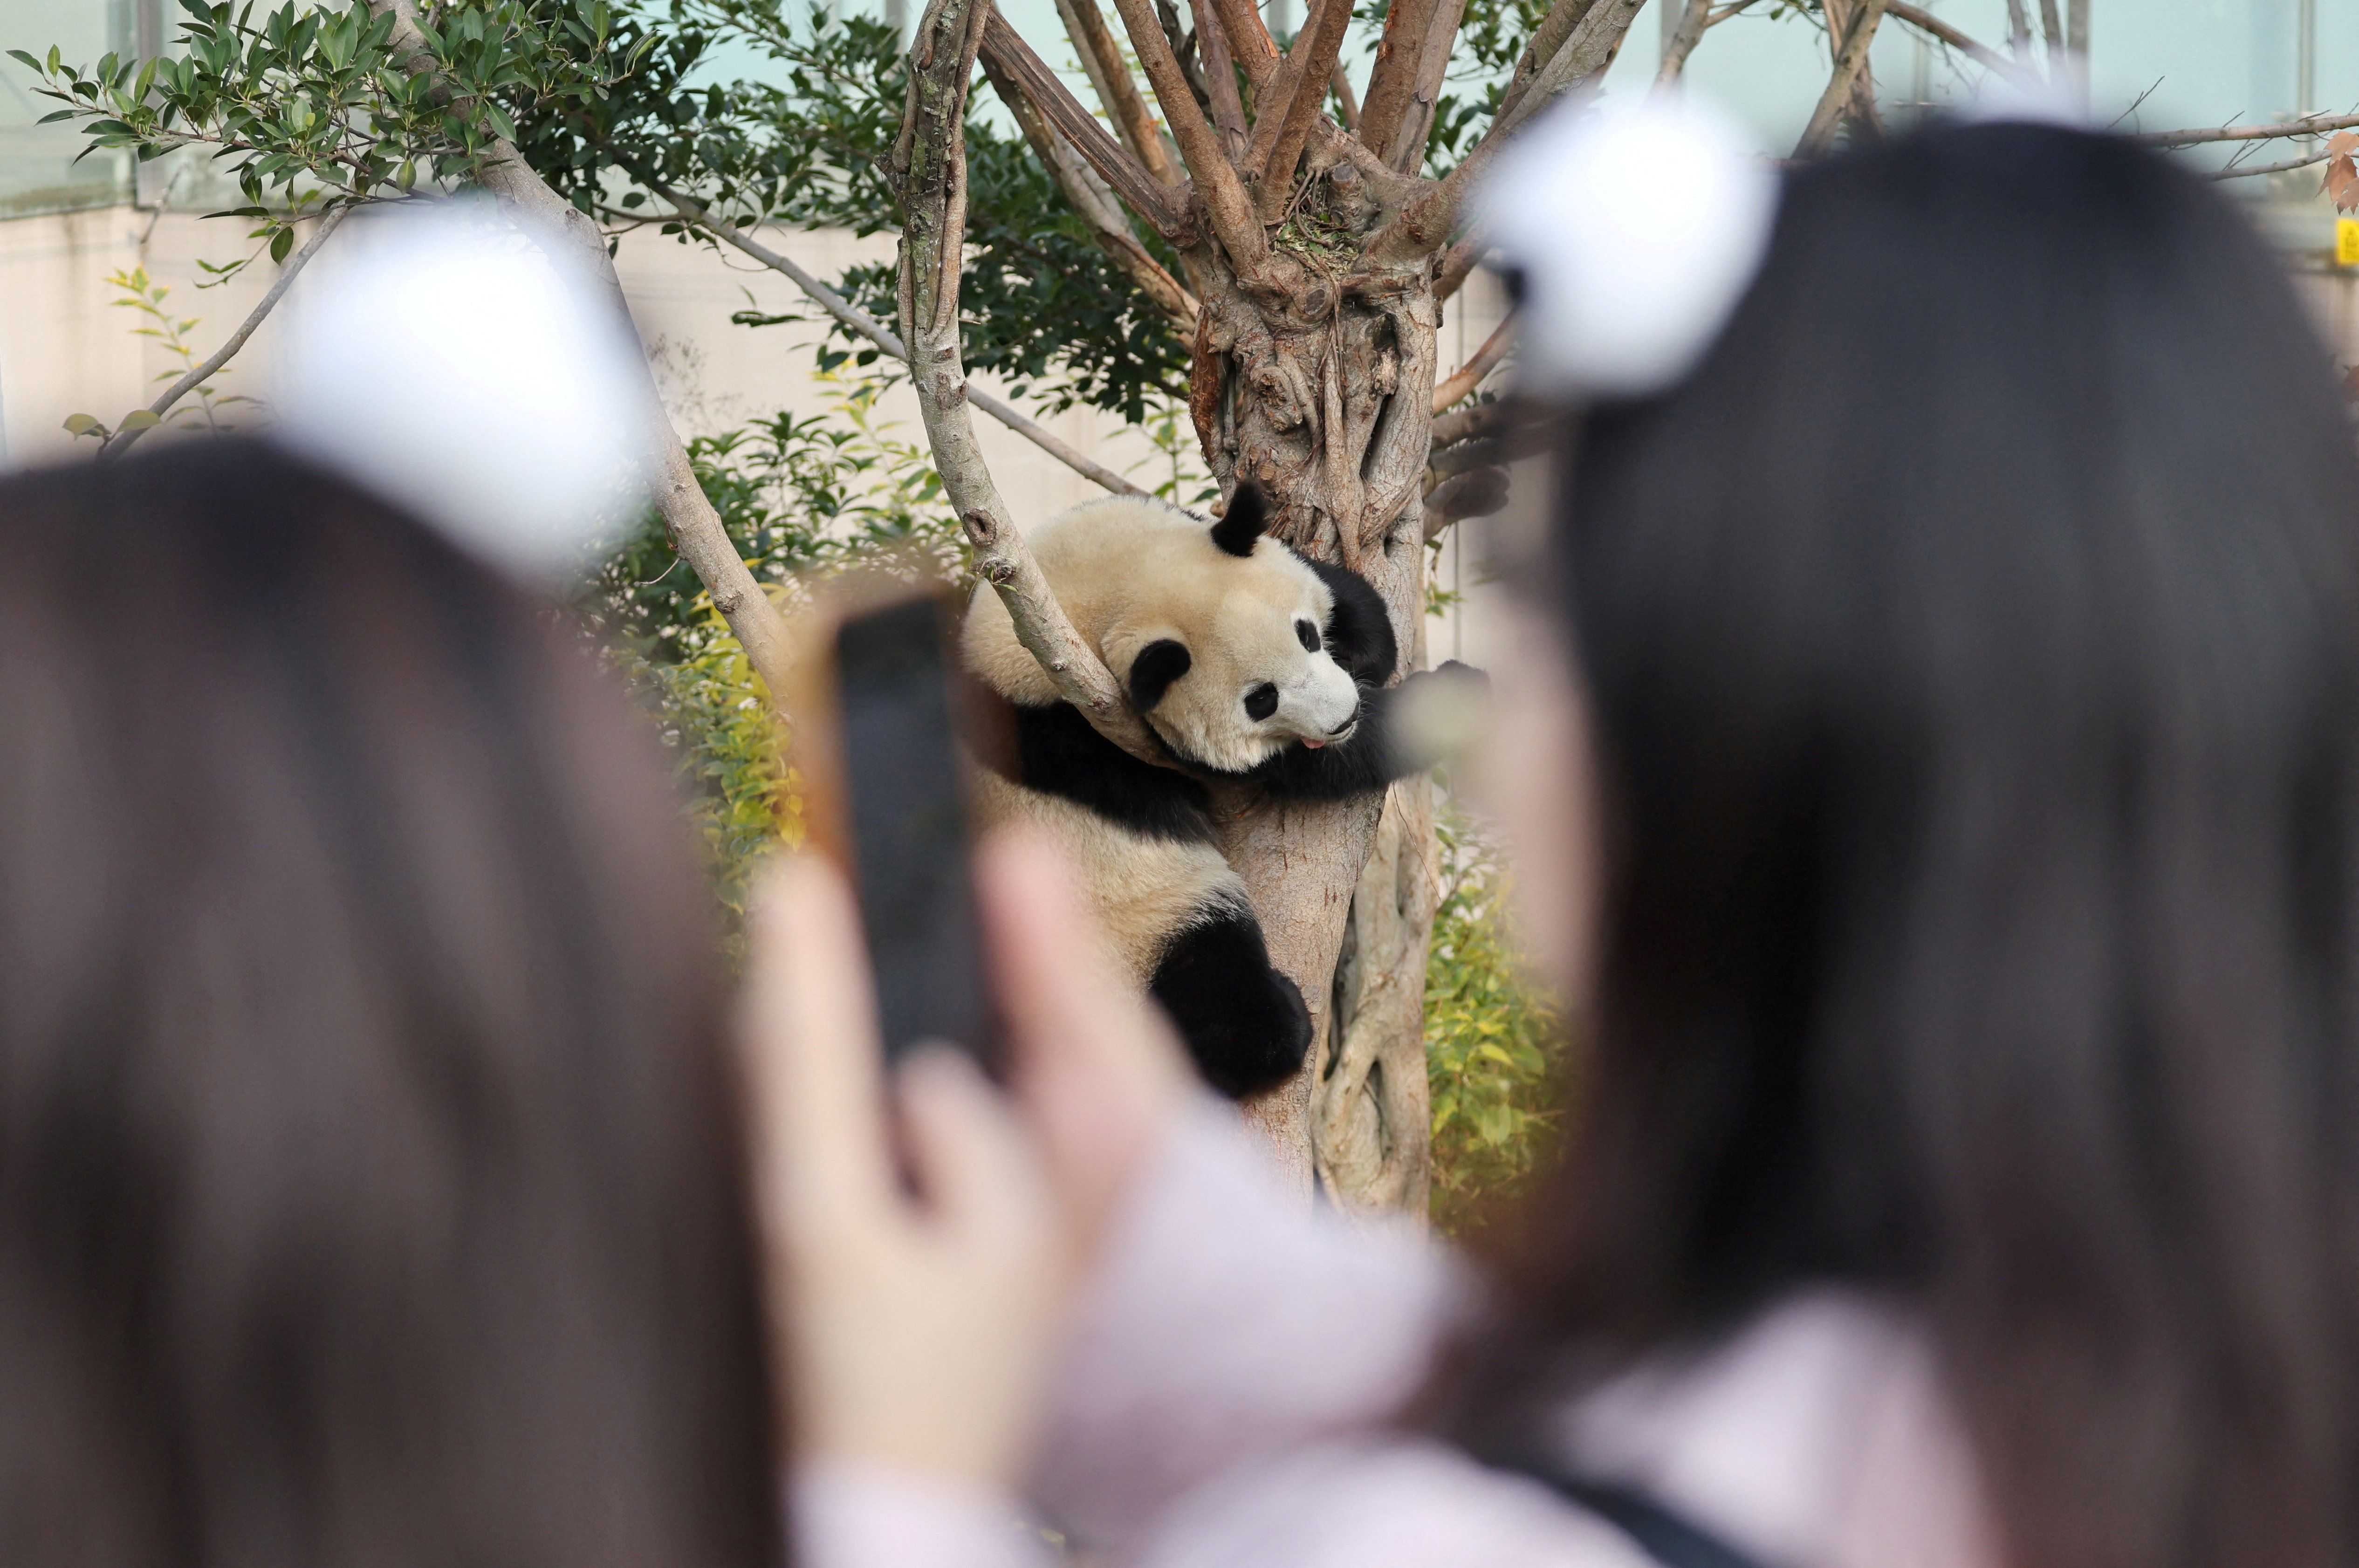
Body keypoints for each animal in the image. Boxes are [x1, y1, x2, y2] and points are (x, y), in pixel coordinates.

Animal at [961, 484, 1482, 1097]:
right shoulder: (1112, 739)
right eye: (1262, 699)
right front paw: (1455, 698)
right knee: (1214, 981)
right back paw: (1283, 1022)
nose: (1342, 717)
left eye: (1306, 634)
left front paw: (1367, 639)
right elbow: (1318, 767)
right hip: (1140, 935)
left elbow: (1345, 593)